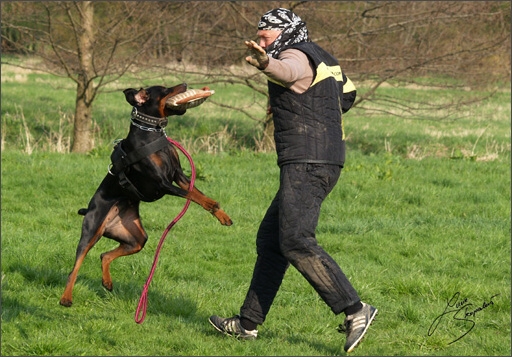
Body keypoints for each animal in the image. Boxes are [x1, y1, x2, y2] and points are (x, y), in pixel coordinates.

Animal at [59, 82, 232, 306]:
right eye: (166, 89)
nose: (185, 84)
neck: (151, 133)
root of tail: (90, 210)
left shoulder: (179, 175)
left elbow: (197, 193)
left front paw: (222, 215)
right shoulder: (163, 183)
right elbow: (191, 196)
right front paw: (212, 206)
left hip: (136, 238)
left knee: (104, 255)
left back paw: (107, 282)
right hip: (91, 231)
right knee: (75, 267)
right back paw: (66, 298)